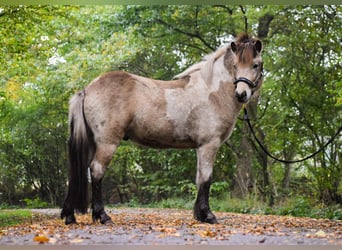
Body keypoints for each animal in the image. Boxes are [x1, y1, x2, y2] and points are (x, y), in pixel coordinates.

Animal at [61, 32, 264, 225]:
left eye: (255, 65)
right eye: (235, 66)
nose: (241, 94)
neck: (212, 91)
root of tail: (87, 90)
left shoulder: (200, 147)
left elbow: (199, 179)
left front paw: (199, 214)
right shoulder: (209, 145)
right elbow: (206, 179)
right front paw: (208, 215)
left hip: (92, 143)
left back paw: (70, 216)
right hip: (107, 143)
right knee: (96, 171)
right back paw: (102, 216)